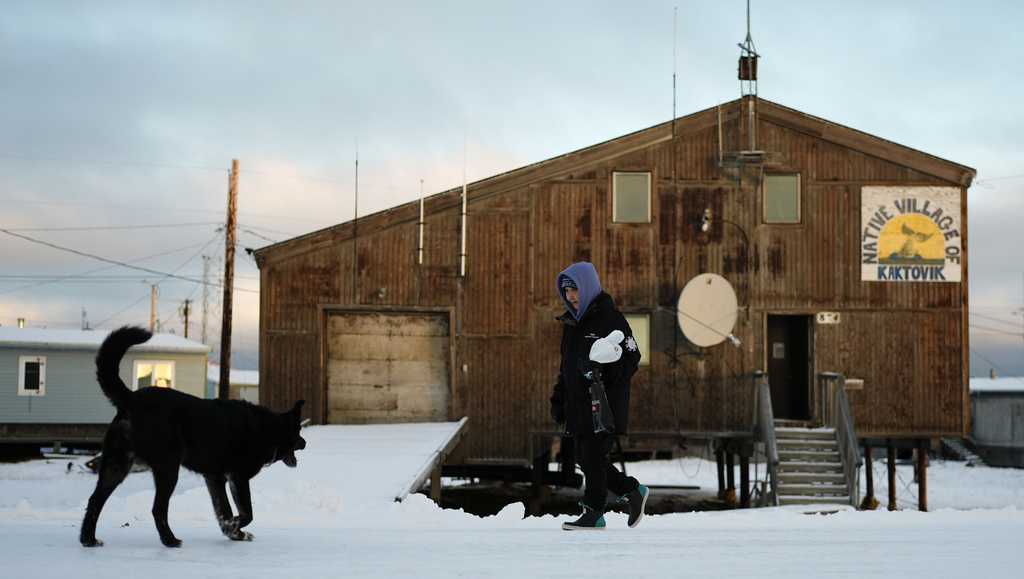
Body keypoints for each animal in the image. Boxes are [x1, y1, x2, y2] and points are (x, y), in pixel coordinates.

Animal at [80, 325, 305, 545]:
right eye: (299, 432)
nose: (305, 443)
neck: (268, 429)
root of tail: (131, 398)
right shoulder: (238, 477)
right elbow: (247, 513)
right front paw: (235, 527)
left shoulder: (215, 479)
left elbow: (224, 511)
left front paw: (233, 531)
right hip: (168, 468)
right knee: (157, 508)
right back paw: (170, 540)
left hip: (116, 466)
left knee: (94, 501)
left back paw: (88, 539)